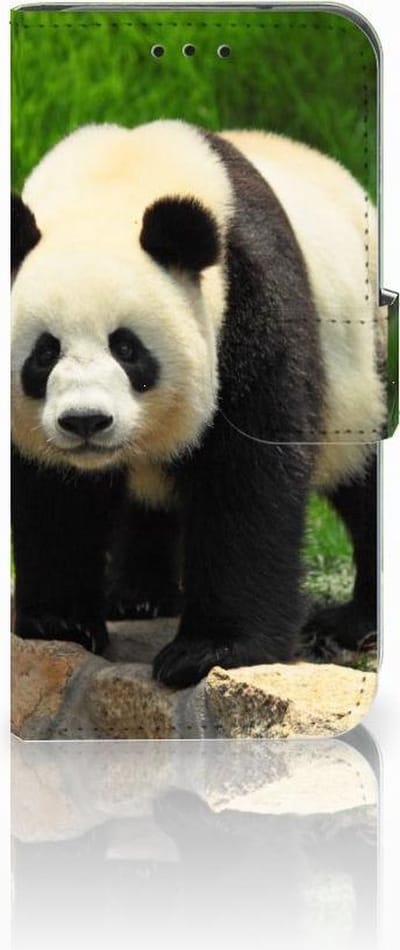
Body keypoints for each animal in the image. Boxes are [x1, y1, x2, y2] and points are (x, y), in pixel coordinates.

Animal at [11, 119, 387, 687]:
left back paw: (354, 622)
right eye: (45, 352)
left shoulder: (249, 300)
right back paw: (138, 596)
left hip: (361, 378)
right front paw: (61, 622)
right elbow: (52, 490)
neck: (115, 182)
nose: (86, 422)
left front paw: (210, 650)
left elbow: (249, 476)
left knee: (363, 477)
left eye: (127, 348)